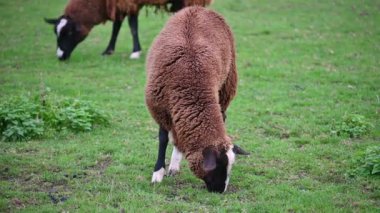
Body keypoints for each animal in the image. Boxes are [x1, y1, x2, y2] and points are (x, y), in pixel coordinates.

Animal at [43, 0, 214, 60]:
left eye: (69, 32)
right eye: (56, 33)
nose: (60, 57)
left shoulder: (129, 3)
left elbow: (132, 26)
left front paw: (135, 52)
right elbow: (117, 26)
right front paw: (108, 50)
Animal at [145, 6, 249, 193]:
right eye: (217, 167)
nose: (220, 191)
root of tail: (198, 8)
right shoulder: (160, 108)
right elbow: (163, 138)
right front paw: (158, 173)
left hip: (226, 86)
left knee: (222, 115)